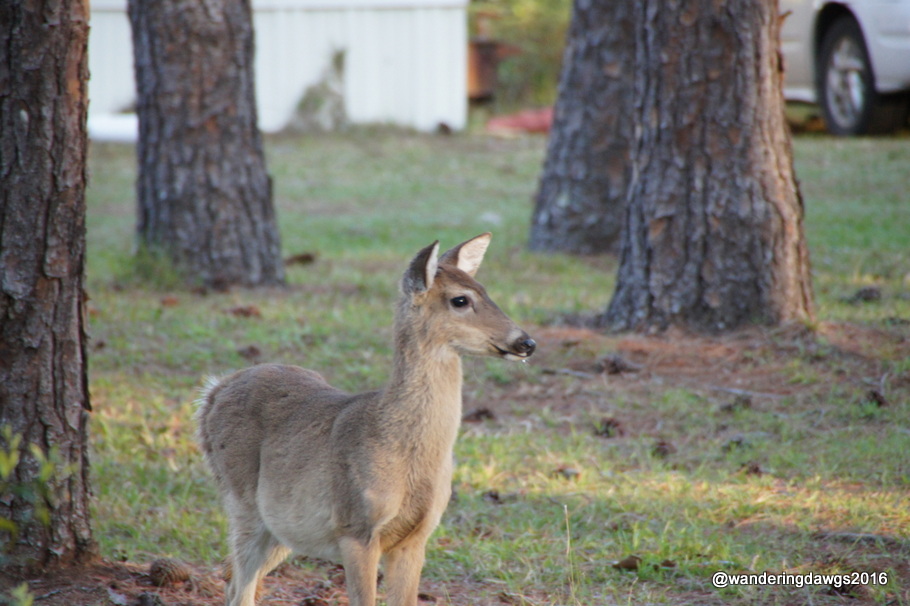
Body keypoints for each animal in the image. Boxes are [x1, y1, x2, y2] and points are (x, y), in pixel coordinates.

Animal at [196, 233, 536, 606]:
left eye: (486, 290)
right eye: (460, 299)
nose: (526, 341)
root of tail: (213, 391)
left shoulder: (416, 536)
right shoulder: (355, 527)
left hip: (282, 524)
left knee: (234, 581)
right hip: (243, 501)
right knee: (239, 584)